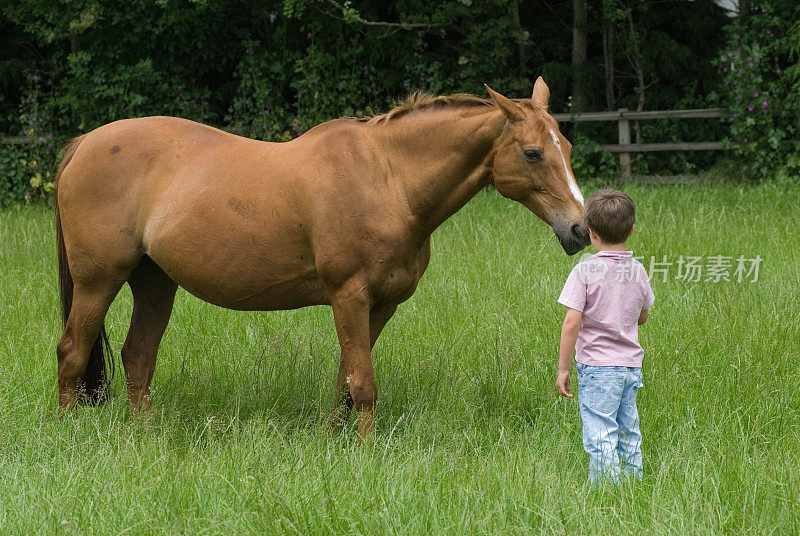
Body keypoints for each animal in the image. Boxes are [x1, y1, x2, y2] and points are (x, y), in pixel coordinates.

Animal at [51, 76, 588, 436]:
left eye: (566, 145)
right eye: (533, 153)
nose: (580, 229)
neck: (387, 178)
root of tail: (85, 143)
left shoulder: (380, 304)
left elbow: (346, 380)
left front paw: (336, 442)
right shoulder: (348, 295)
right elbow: (363, 382)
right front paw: (366, 454)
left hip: (155, 282)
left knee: (138, 357)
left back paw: (144, 438)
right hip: (98, 281)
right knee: (72, 352)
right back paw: (69, 436)